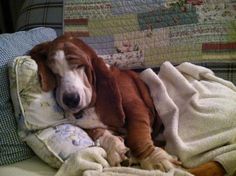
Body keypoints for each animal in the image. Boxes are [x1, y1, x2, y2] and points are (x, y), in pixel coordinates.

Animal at [29, 33, 225, 175]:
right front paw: (115, 148)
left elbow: (137, 136)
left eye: (79, 66)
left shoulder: (136, 107)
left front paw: (154, 159)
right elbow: (98, 132)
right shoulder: (85, 125)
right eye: (54, 72)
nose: (70, 99)